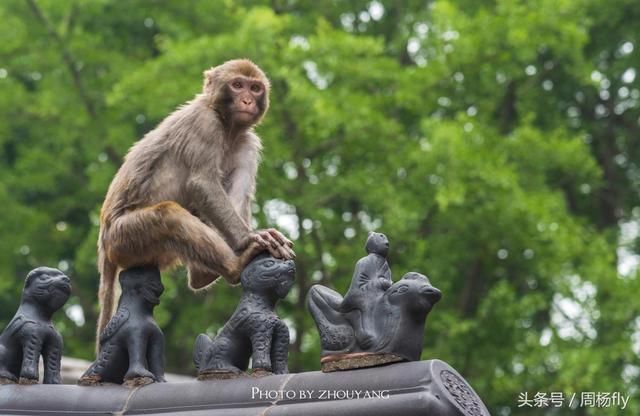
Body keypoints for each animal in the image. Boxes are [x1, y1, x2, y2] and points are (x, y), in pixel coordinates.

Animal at [97, 59, 296, 344]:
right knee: (169, 215)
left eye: (255, 88)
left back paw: (204, 274)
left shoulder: (247, 141)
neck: (226, 125)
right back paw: (234, 266)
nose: (247, 100)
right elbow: (202, 183)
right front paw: (250, 238)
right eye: (238, 85)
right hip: (123, 239)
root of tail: (104, 243)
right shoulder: (206, 123)